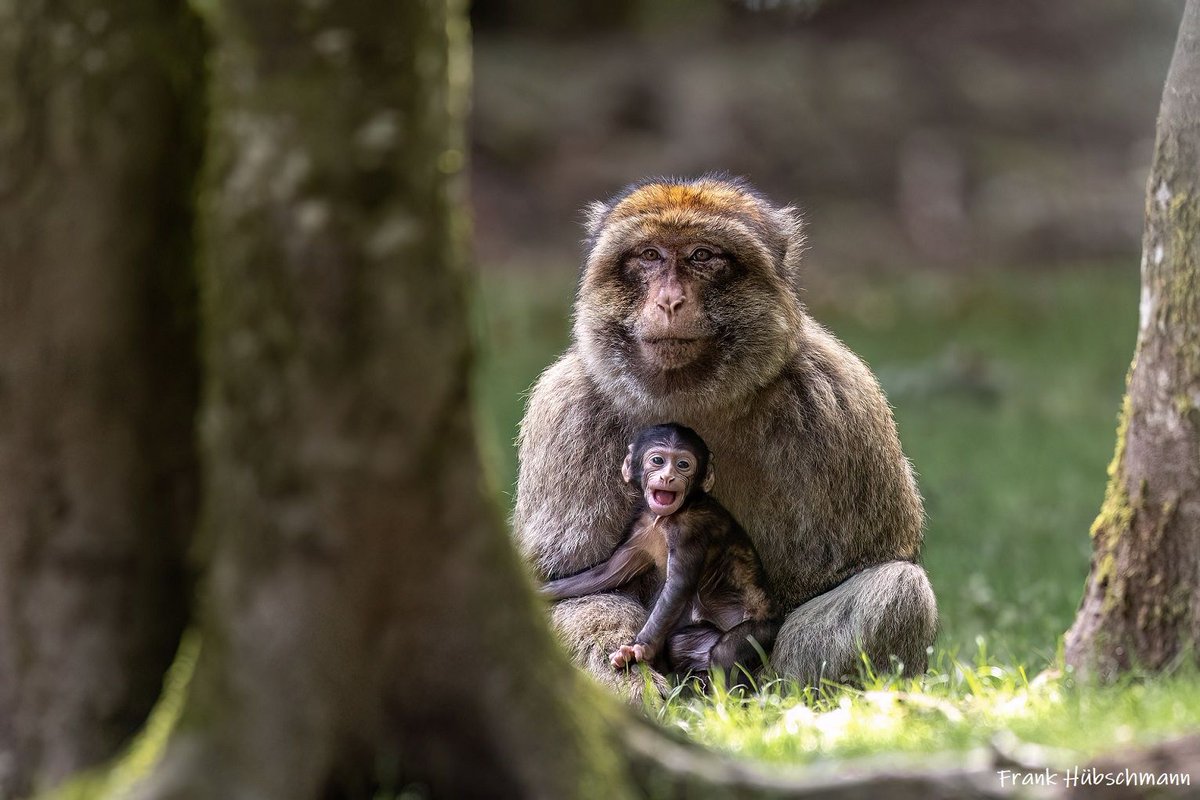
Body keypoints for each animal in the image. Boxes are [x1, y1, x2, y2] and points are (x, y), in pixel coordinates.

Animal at [542, 424, 778, 677]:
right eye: (657, 460)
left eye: (683, 464)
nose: (667, 476)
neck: (665, 519)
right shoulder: (640, 525)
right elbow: (608, 572)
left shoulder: (690, 529)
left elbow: (678, 585)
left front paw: (638, 649)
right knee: (680, 644)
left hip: (762, 629)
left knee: (726, 653)